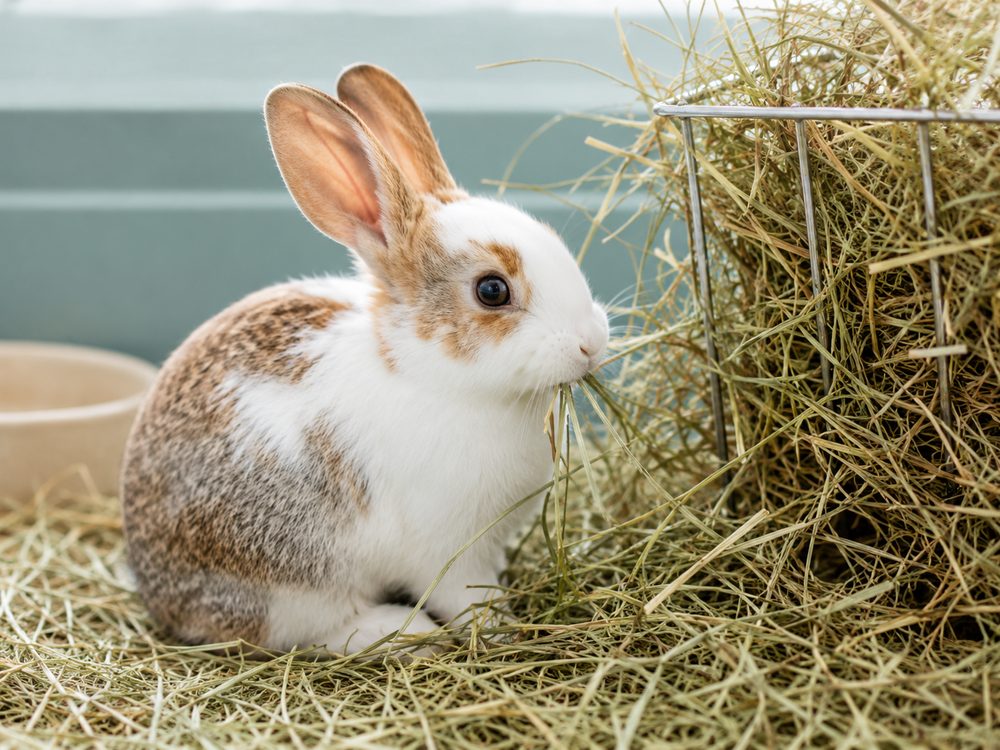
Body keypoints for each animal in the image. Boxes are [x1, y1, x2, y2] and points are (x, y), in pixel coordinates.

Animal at [121, 63, 609, 656]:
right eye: (492, 290)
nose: (591, 343)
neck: (433, 376)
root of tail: (159, 596)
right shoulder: (449, 550)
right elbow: (468, 597)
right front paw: (502, 628)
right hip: (293, 585)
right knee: (318, 631)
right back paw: (406, 633)